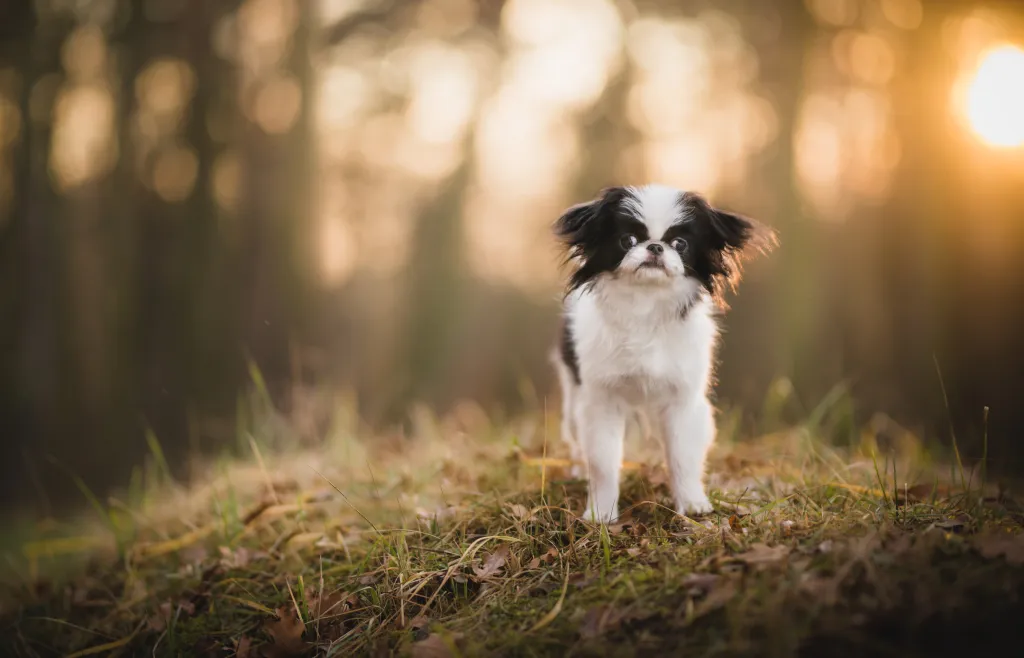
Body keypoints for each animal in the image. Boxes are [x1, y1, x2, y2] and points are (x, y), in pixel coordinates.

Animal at [548, 184, 770, 519]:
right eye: (627, 240)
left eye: (680, 244)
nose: (655, 247)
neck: (646, 306)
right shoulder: (601, 401)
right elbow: (603, 463)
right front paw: (601, 514)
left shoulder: (682, 402)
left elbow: (683, 458)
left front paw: (691, 504)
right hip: (574, 401)